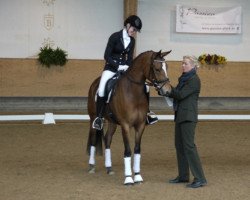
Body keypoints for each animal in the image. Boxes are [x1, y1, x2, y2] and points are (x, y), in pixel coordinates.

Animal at [86, 50, 172, 186]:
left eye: (166, 67)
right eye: (157, 68)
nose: (168, 91)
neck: (133, 91)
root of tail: (95, 82)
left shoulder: (140, 125)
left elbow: (137, 150)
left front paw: (137, 176)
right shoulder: (125, 125)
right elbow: (127, 150)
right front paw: (128, 178)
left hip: (112, 122)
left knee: (107, 139)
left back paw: (109, 168)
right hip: (93, 118)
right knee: (94, 140)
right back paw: (91, 166)